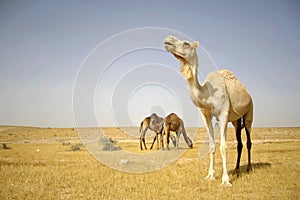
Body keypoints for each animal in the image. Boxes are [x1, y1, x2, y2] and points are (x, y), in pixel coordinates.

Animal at [164, 35, 253, 187]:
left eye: (186, 43)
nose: (167, 40)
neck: (207, 94)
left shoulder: (223, 114)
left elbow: (223, 147)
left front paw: (225, 180)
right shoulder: (206, 116)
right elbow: (211, 146)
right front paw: (210, 175)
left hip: (249, 112)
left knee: (248, 139)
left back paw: (248, 168)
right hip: (236, 120)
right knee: (239, 142)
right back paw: (236, 169)